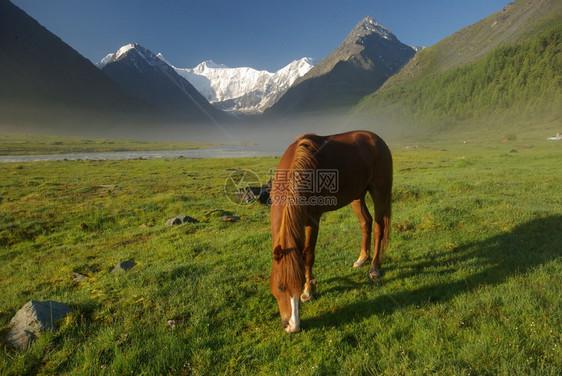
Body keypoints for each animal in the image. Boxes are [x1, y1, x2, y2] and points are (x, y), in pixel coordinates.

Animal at [270, 130, 392, 332]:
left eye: (297, 285)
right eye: (280, 287)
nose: (293, 326)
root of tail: (377, 139)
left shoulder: (313, 221)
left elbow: (308, 255)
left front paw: (308, 291)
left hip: (379, 191)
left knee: (378, 228)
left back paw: (374, 267)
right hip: (357, 195)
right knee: (365, 223)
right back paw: (362, 258)